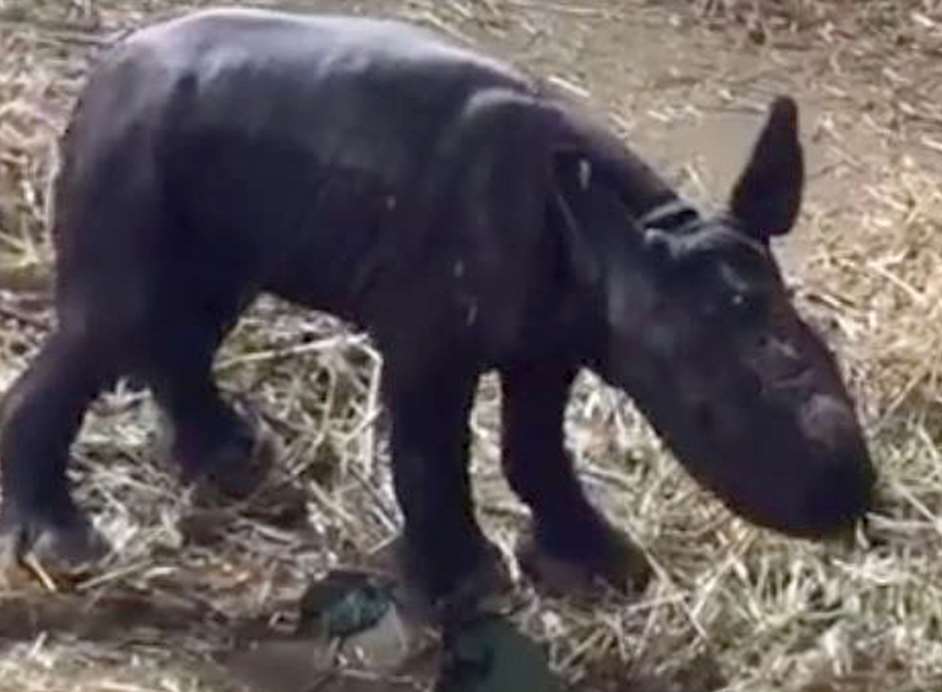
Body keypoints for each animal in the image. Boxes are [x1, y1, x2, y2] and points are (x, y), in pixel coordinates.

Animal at [0, 8, 876, 608]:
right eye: (704, 414)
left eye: (829, 355)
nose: (846, 498)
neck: (637, 242)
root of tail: (107, 67)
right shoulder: (432, 341)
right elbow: (430, 452)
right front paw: (466, 584)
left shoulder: (552, 340)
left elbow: (535, 447)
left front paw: (600, 566)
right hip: (133, 147)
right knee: (112, 317)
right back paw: (65, 547)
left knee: (189, 314)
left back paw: (233, 465)